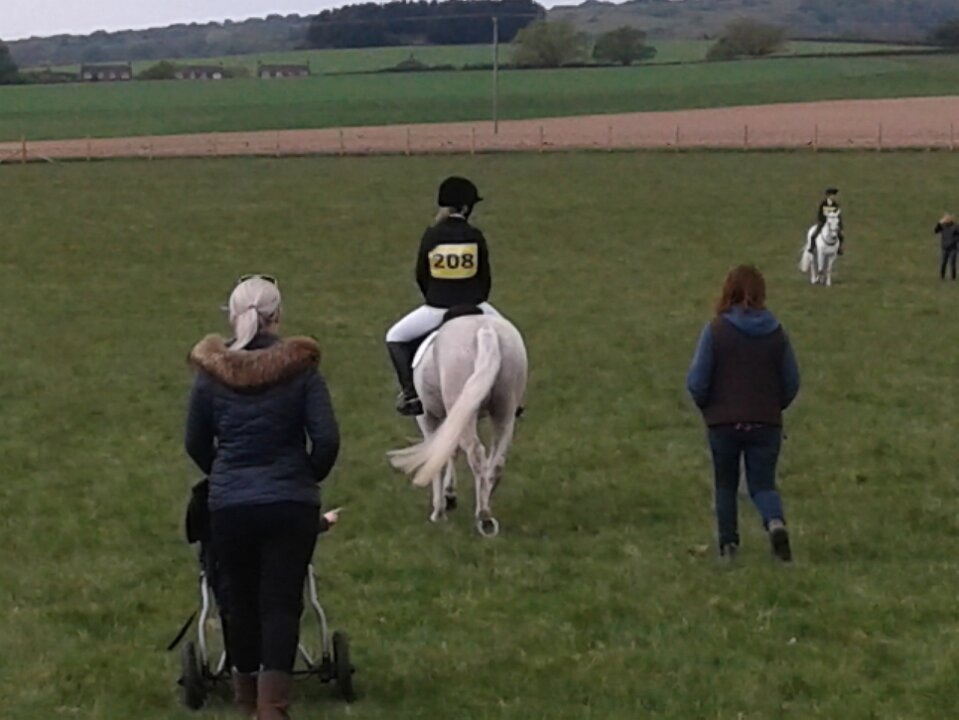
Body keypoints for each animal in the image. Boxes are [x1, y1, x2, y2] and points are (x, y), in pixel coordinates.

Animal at [388, 313, 528, 538]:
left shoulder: (428, 418)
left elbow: (437, 456)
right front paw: (450, 496)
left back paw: (483, 516)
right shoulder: (454, 416)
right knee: (497, 461)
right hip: (505, 410)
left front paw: (439, 511)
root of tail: (485, 330)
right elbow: (450, 450)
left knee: (476, 453)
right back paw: (486, 501)